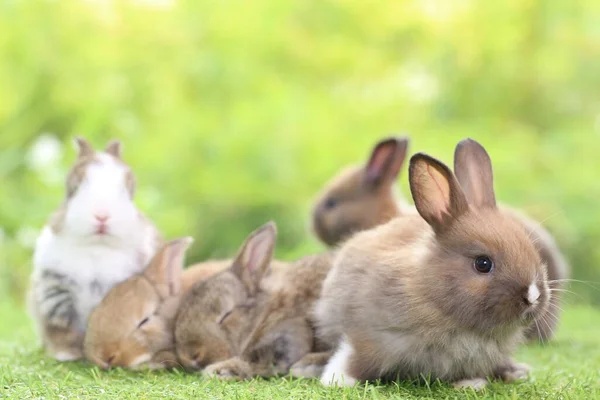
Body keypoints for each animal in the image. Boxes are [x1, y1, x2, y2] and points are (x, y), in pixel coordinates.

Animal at [28, 138, 162, 362]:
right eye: (75, 188)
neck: (97, 247)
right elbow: (61, 331)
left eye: (128, 190)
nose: (102, 215)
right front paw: (66, 355)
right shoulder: (56, 298)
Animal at [173, 222, 336, 382]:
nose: (191, 356)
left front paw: (221, 370)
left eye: (227, 314)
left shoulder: (289, 332)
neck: (262, 315)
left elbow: (259, 358)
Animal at [316, 145, 552, 390]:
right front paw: (338, 380)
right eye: (483, 264)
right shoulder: (369, 337)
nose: (533, 296)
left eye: (532, 251)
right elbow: (356, 358)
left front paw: (471, 383)